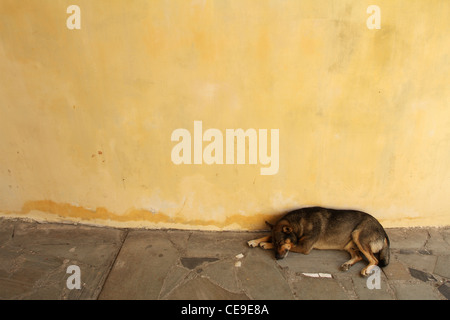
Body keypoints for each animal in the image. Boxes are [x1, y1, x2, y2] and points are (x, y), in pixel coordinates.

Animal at [248, 206, 388, 276]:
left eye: (281, 243)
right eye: (277, 243)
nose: (277, 257)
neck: (299, 225)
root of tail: (382, 229)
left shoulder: (304, 247)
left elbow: (290, 245)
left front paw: (265, 244)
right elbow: (268, 235)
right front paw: (255, 241)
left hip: (358, 235)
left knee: (374, 260)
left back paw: (367, 269)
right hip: (349, 243)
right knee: (358, 256)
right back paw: (347, 264)